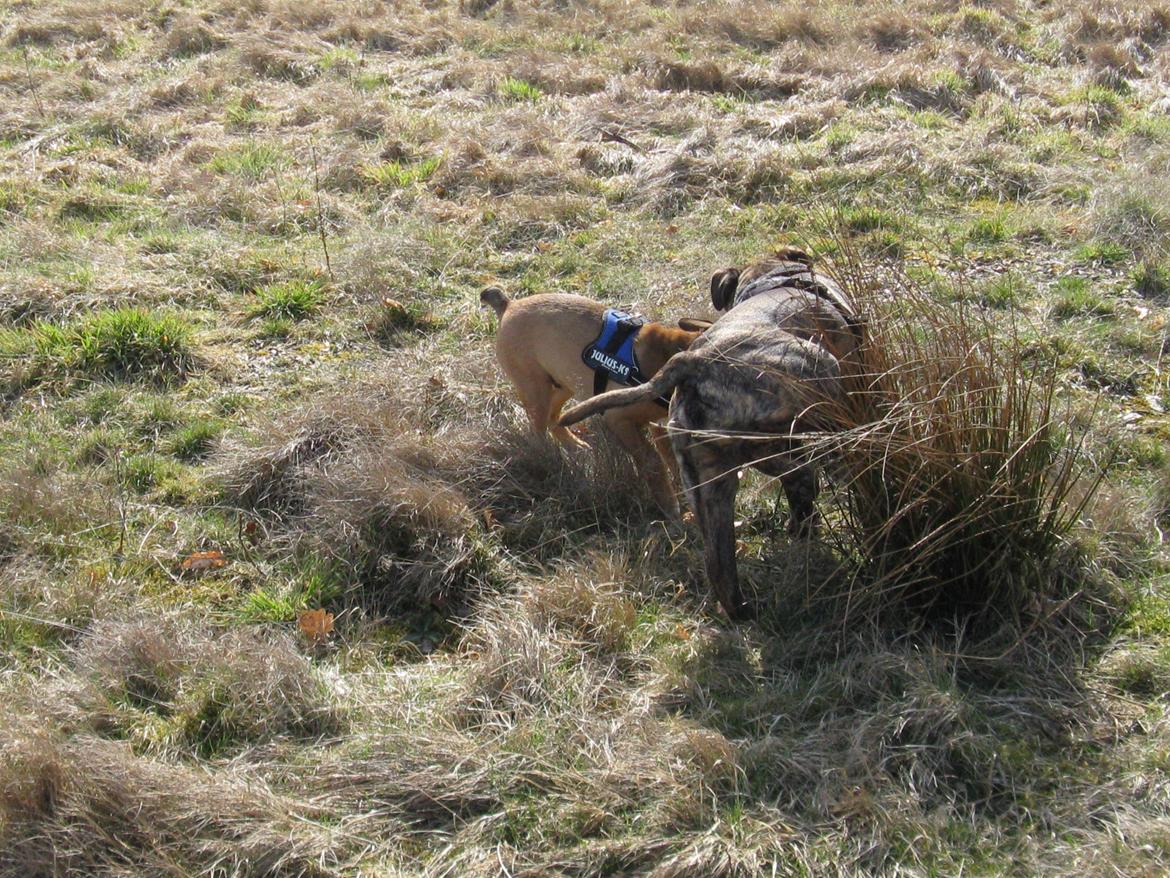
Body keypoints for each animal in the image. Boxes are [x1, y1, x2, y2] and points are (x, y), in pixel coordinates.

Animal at [482, 289, 702, 519]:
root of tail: (509, 304)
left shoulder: (658, 424)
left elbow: (673, 460)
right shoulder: (620, 420)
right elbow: (653, 461)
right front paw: (670, 507)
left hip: (566, 383)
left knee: (555, 418)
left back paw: (575, 445)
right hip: (536, 391)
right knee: (539, 434)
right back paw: (553, 464)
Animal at [556, 248, 861, 618]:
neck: (773, 279)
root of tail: (692, 362)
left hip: (713, 486)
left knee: (720, 564)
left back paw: (744, 611)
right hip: (822, 385)